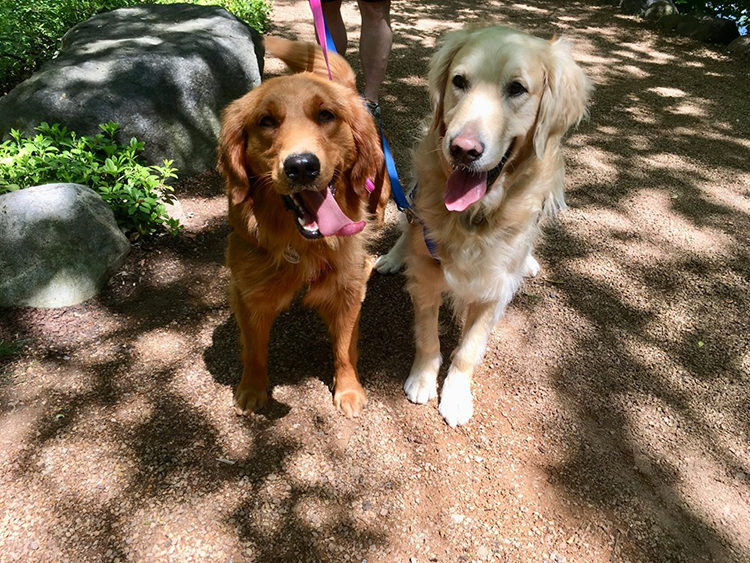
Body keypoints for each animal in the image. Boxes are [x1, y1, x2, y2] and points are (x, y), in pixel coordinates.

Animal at [217, 37, 390, 416]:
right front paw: (252, 389)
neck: (305, 245)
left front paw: (348, 390)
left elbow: (343, 349)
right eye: (266, 121)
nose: (301, 166)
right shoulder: (247, 293)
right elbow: (254, 350)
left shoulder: (347, 289)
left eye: (326, 115)